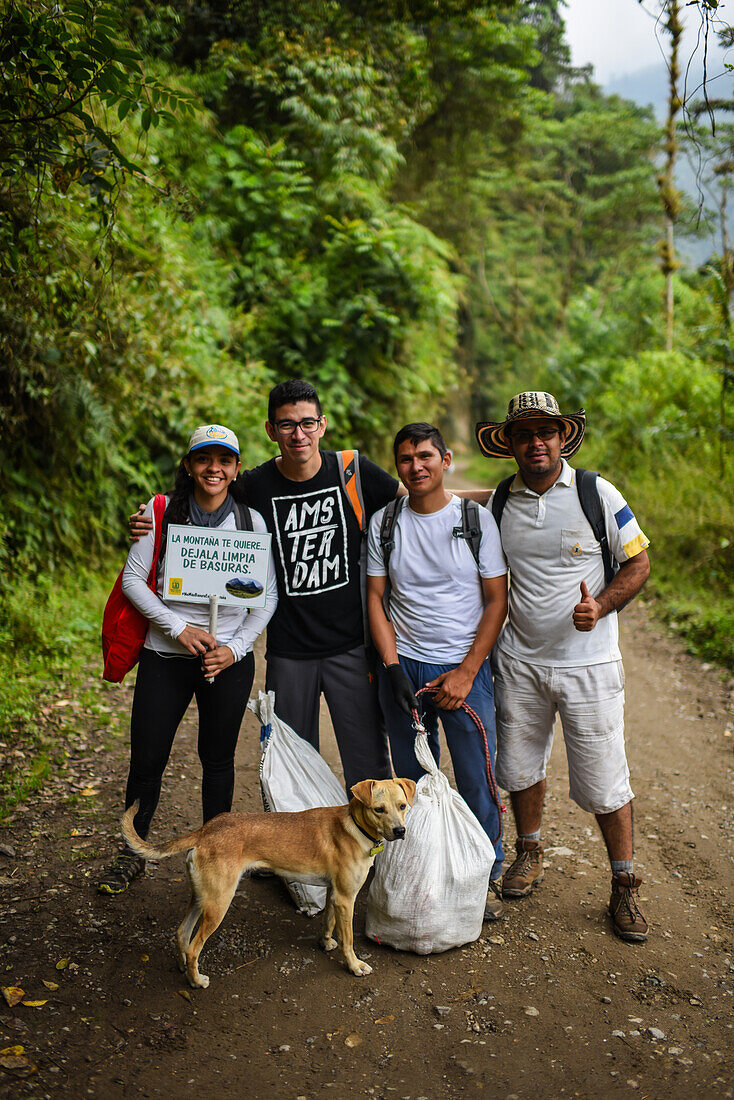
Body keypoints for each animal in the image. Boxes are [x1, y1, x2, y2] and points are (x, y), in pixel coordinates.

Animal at [123, 774, 415, 990]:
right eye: (379, 809)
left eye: (403, 806)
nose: (400, 831)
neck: (354, 825)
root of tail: (206, 830)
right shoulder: (346, 897)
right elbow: (349, 939)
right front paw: (354, 965)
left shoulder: (335, 892)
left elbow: (329, 921)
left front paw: (325, 943)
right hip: (218, 903)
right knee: (195, 947)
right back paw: (196, 981)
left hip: (202, 898)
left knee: (182, 934)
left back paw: (184, 968)